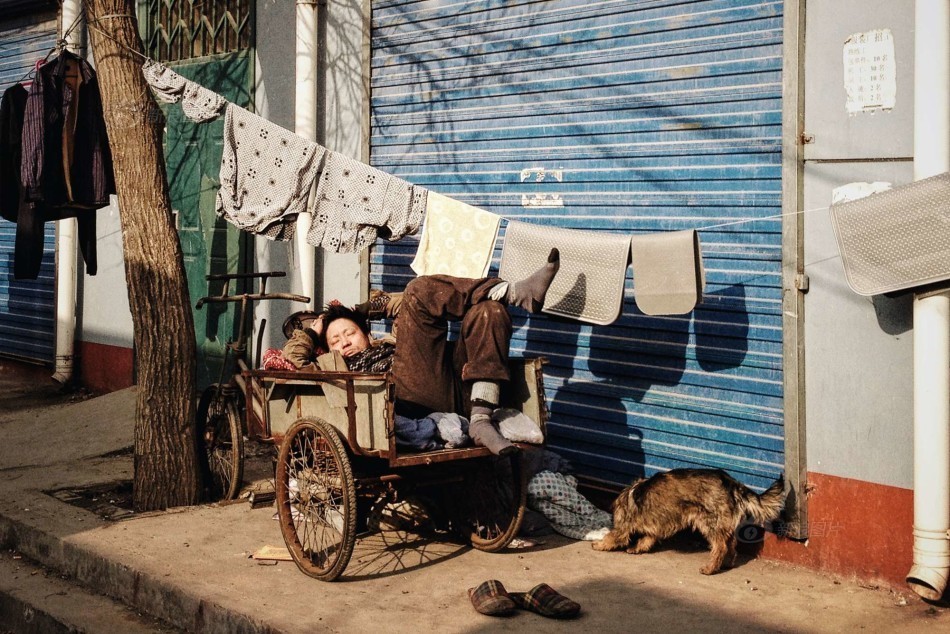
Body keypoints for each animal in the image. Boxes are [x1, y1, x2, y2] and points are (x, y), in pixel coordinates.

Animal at [596, 464, 788, 572]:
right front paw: (638, 547)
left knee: (720, 546)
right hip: (723, 523)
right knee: (731, 545)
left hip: (709, 521)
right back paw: (726, 563)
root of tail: (731, 482)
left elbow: (613, 536)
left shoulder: (623, 527)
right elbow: (647, 538)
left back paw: (710, 568)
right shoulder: (654, 526)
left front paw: (599, 545)